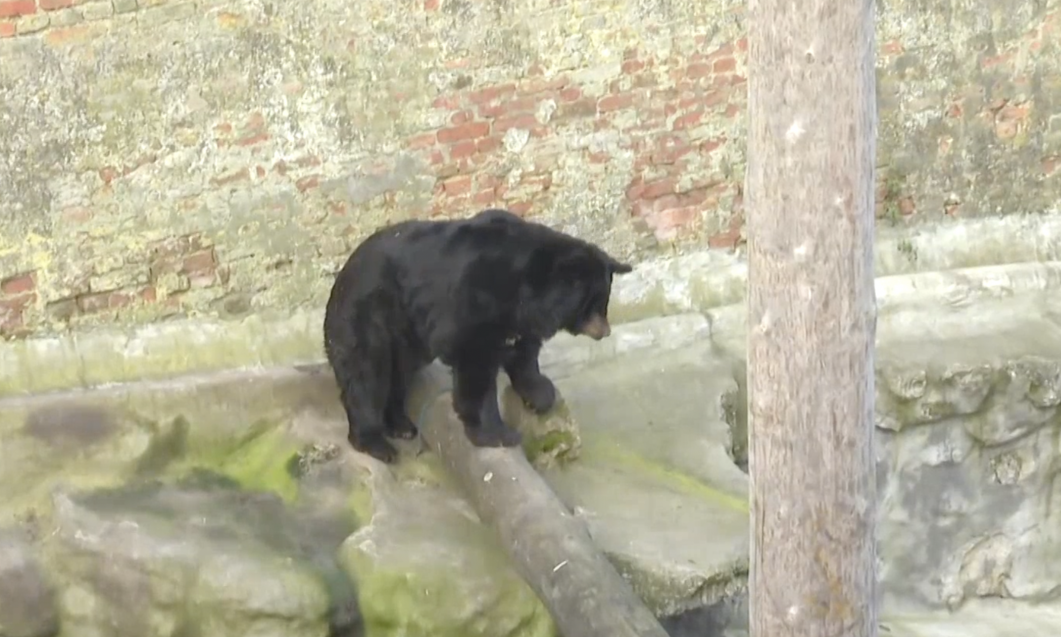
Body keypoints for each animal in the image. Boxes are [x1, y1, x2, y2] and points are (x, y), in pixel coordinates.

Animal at [320, 208, 628, 462]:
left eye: (603, 302)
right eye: (595, 304)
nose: (605, 331)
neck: (526, 288)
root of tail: (342, 274)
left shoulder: (518, 318)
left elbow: (524, 354)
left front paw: (540, 392)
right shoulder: (475, 301)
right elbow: (476, 366)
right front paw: (498, 434)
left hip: (406, 334)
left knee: (400, 373)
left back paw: (401, 425)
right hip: (369, 315)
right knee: (366, 373)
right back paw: (376, 443)